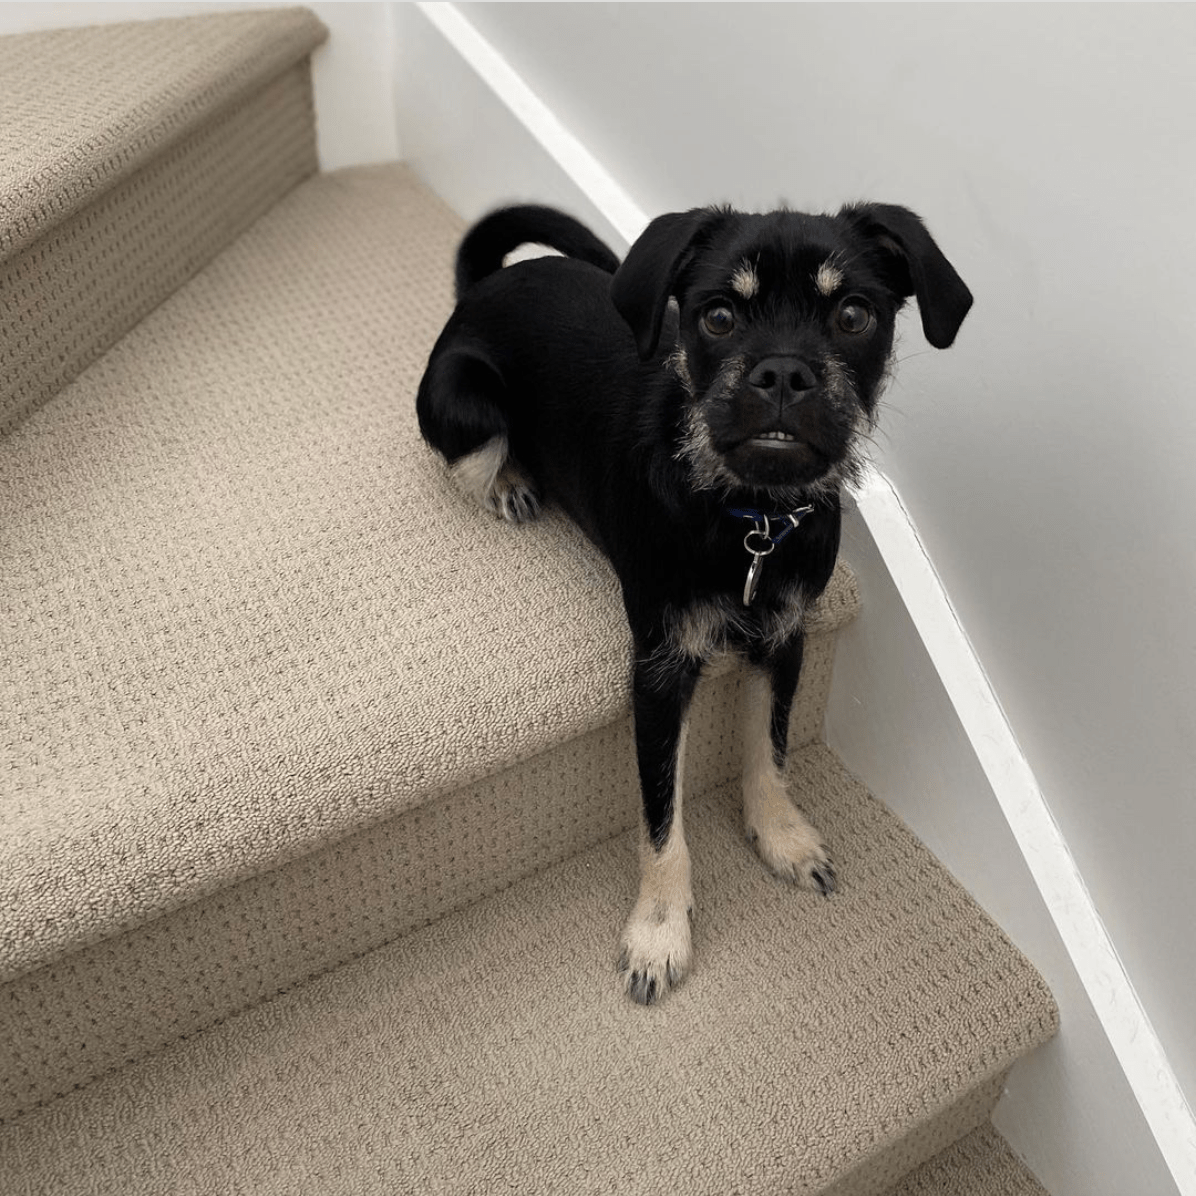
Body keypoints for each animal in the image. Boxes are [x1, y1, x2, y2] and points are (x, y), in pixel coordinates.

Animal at [416, 198, 966, 999]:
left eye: (855, 315)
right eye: (718, 317)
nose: (783, 373)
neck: (748, 518)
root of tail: (483, 288)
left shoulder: (785, 637)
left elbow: (769, 749)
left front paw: (783, 837)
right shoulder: (660, 672)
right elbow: (661, 820)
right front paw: (658, 933)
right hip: (465, 403)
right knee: (473, 460)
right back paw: (512, 482)